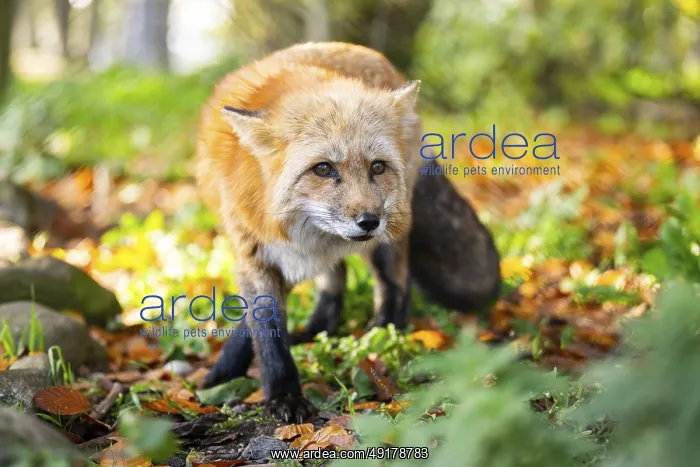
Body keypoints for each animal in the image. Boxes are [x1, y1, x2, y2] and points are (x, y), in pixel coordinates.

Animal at [195, 41, 501, 422]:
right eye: (323, 169)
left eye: (377, 167)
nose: (370, 221)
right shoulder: (256, 253)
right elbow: (266, 332)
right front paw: (272, 389)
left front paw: (279, 394)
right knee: (335, 282)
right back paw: (316, 331)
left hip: (388, 243)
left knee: (397, 285)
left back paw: (383, 336)